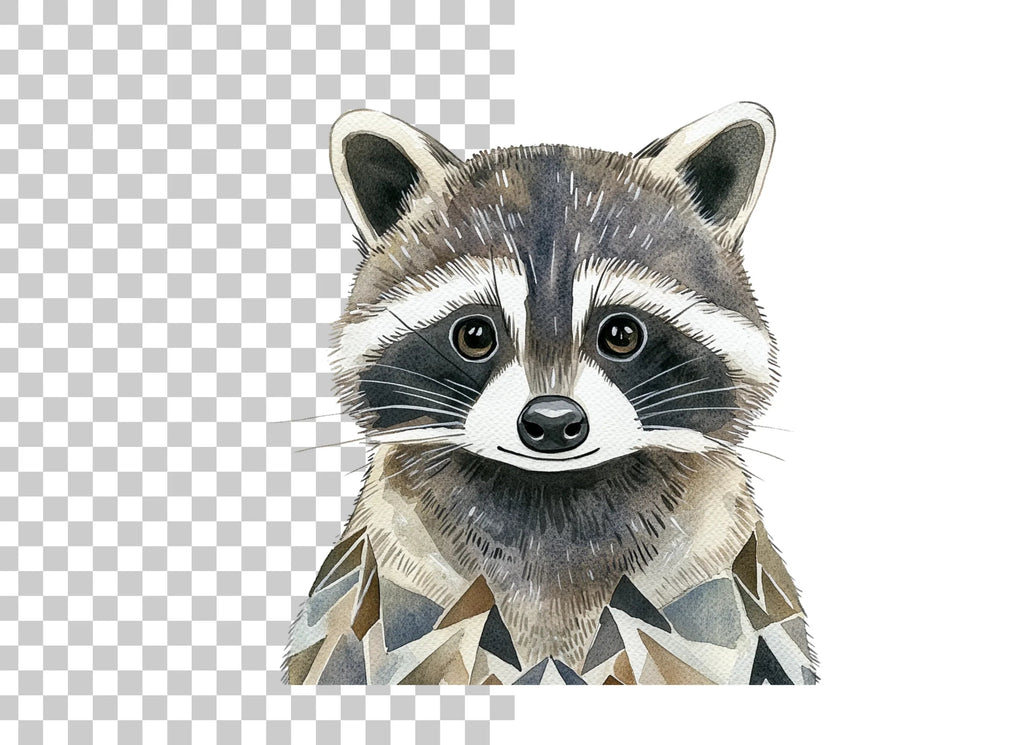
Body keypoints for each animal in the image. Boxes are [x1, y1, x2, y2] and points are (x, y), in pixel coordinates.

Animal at [285, 103, 816, 685]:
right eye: (475, 334)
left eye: (621, 333)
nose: (554, 422)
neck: (551, 499)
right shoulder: (384, 595)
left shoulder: (725, 596)